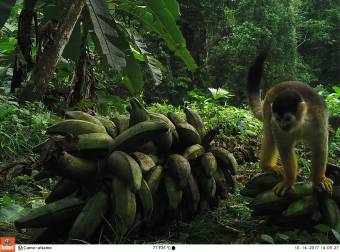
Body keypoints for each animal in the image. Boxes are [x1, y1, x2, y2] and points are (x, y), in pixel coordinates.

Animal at [246, 51, 334, 197]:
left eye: (287, 119)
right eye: (278, 118)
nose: (282, 125)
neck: (300, 123)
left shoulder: (318, 119)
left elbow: (320, 148)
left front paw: (320, 179)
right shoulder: (276, 124)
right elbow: (285, 149)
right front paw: (289, 180)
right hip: (268, 109)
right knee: (270, 136)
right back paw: (267, 166)